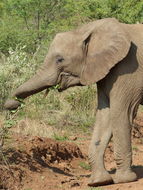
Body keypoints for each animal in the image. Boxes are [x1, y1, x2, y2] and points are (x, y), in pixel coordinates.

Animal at [4, 18, 143, 187]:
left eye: (60, 59)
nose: (12, 104)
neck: (87, 29)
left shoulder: (129, 69)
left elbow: (122, 112)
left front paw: (123, 180)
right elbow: (105, 115)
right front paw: (98, 182)